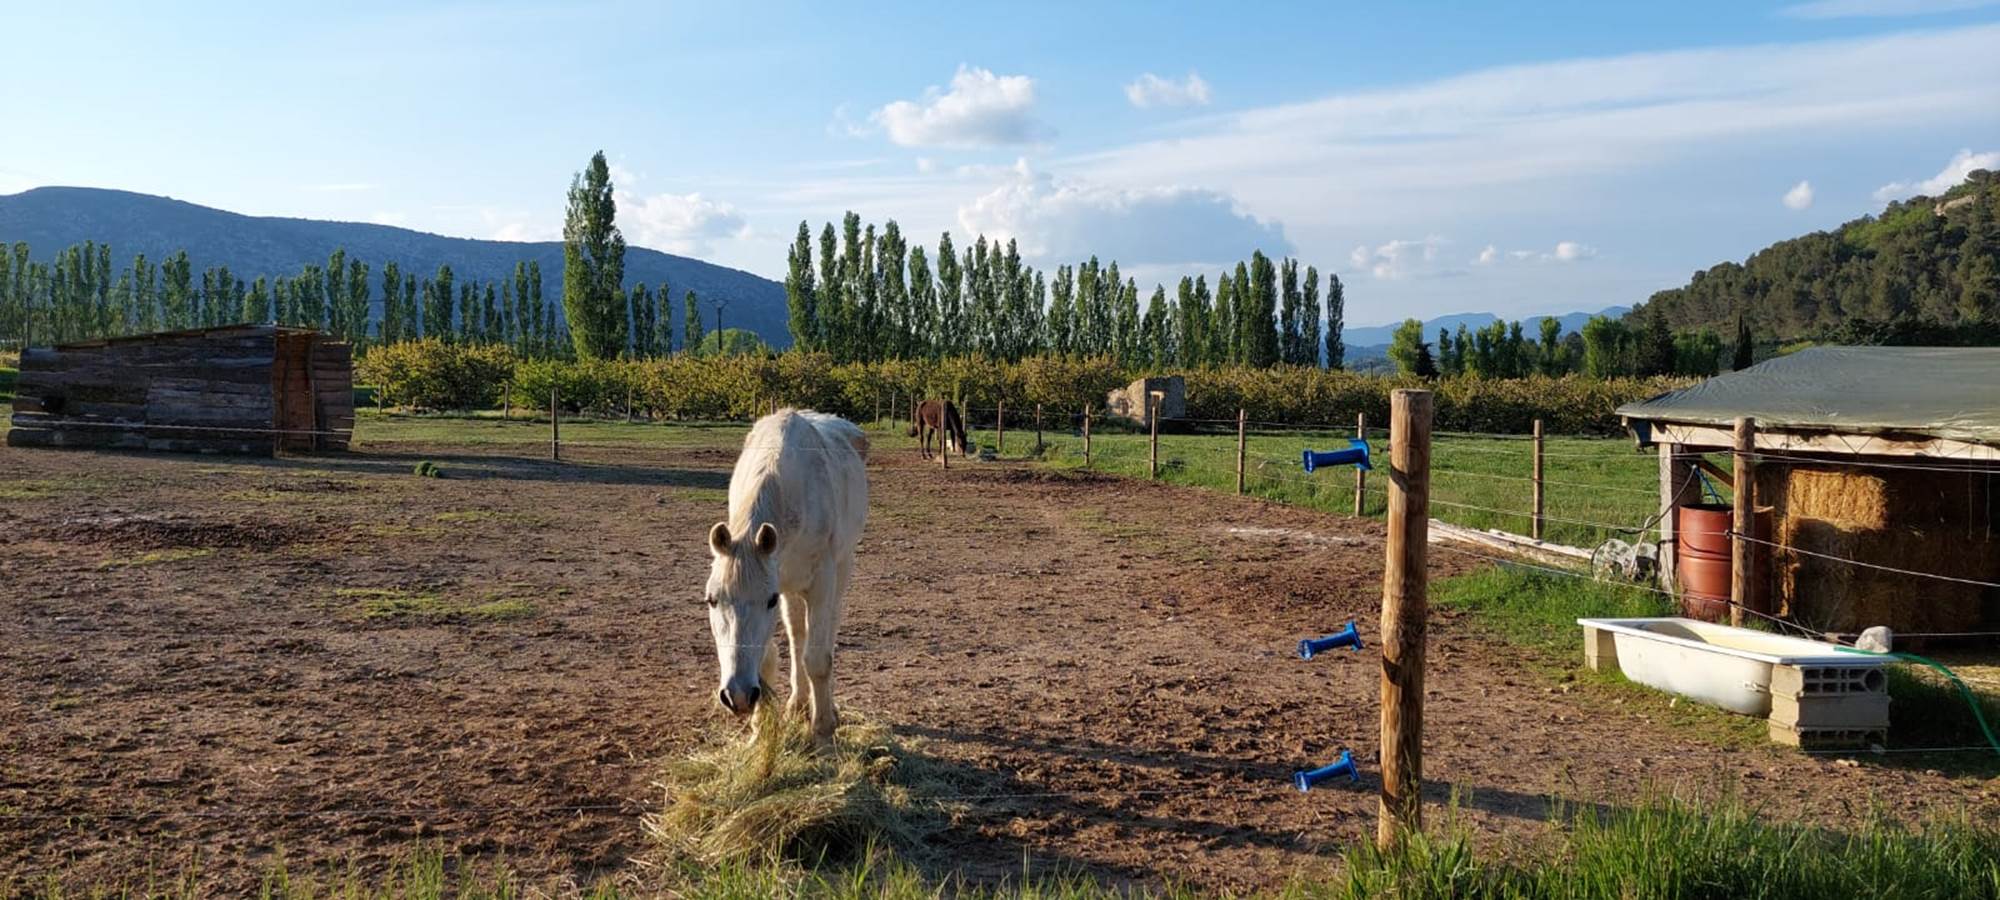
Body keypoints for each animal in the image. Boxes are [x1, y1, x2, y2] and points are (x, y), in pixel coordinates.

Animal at [704, 408, 869, 746]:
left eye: (768, 601)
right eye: (712, 600)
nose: (737, 695)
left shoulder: (819, 582)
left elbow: (818, 659)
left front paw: (823, 731)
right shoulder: (778, 578)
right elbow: (769, 657)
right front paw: (760, 731)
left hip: (841, 567)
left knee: (827, 631)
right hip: (792, 585)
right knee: (796, 635)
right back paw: (798, 702)